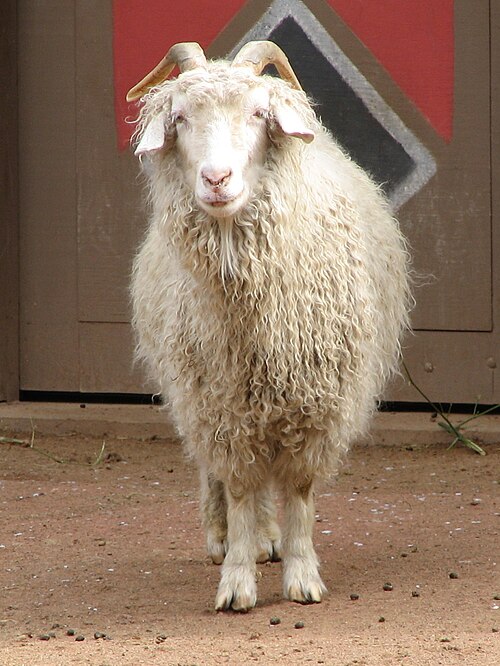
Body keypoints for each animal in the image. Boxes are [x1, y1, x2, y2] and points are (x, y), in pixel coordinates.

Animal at [127, 41, 410, 611]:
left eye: (259, 113)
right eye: (180, 118)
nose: (216, 179)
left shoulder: (317, 404)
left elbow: (298, 494)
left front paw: (302, 576)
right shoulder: (219, 405)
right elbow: (239, 490)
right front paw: (237, 579)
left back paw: (270, 541)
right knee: (228, 479)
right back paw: (234, 538)